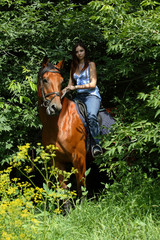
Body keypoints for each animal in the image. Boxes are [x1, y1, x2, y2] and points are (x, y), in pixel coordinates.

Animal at [37, 56, 87, 197]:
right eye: (45, 80)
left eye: (61, 81)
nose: (56, 107)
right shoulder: (57, 162)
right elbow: (64, 192)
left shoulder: (79, 158)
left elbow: (81, 188)